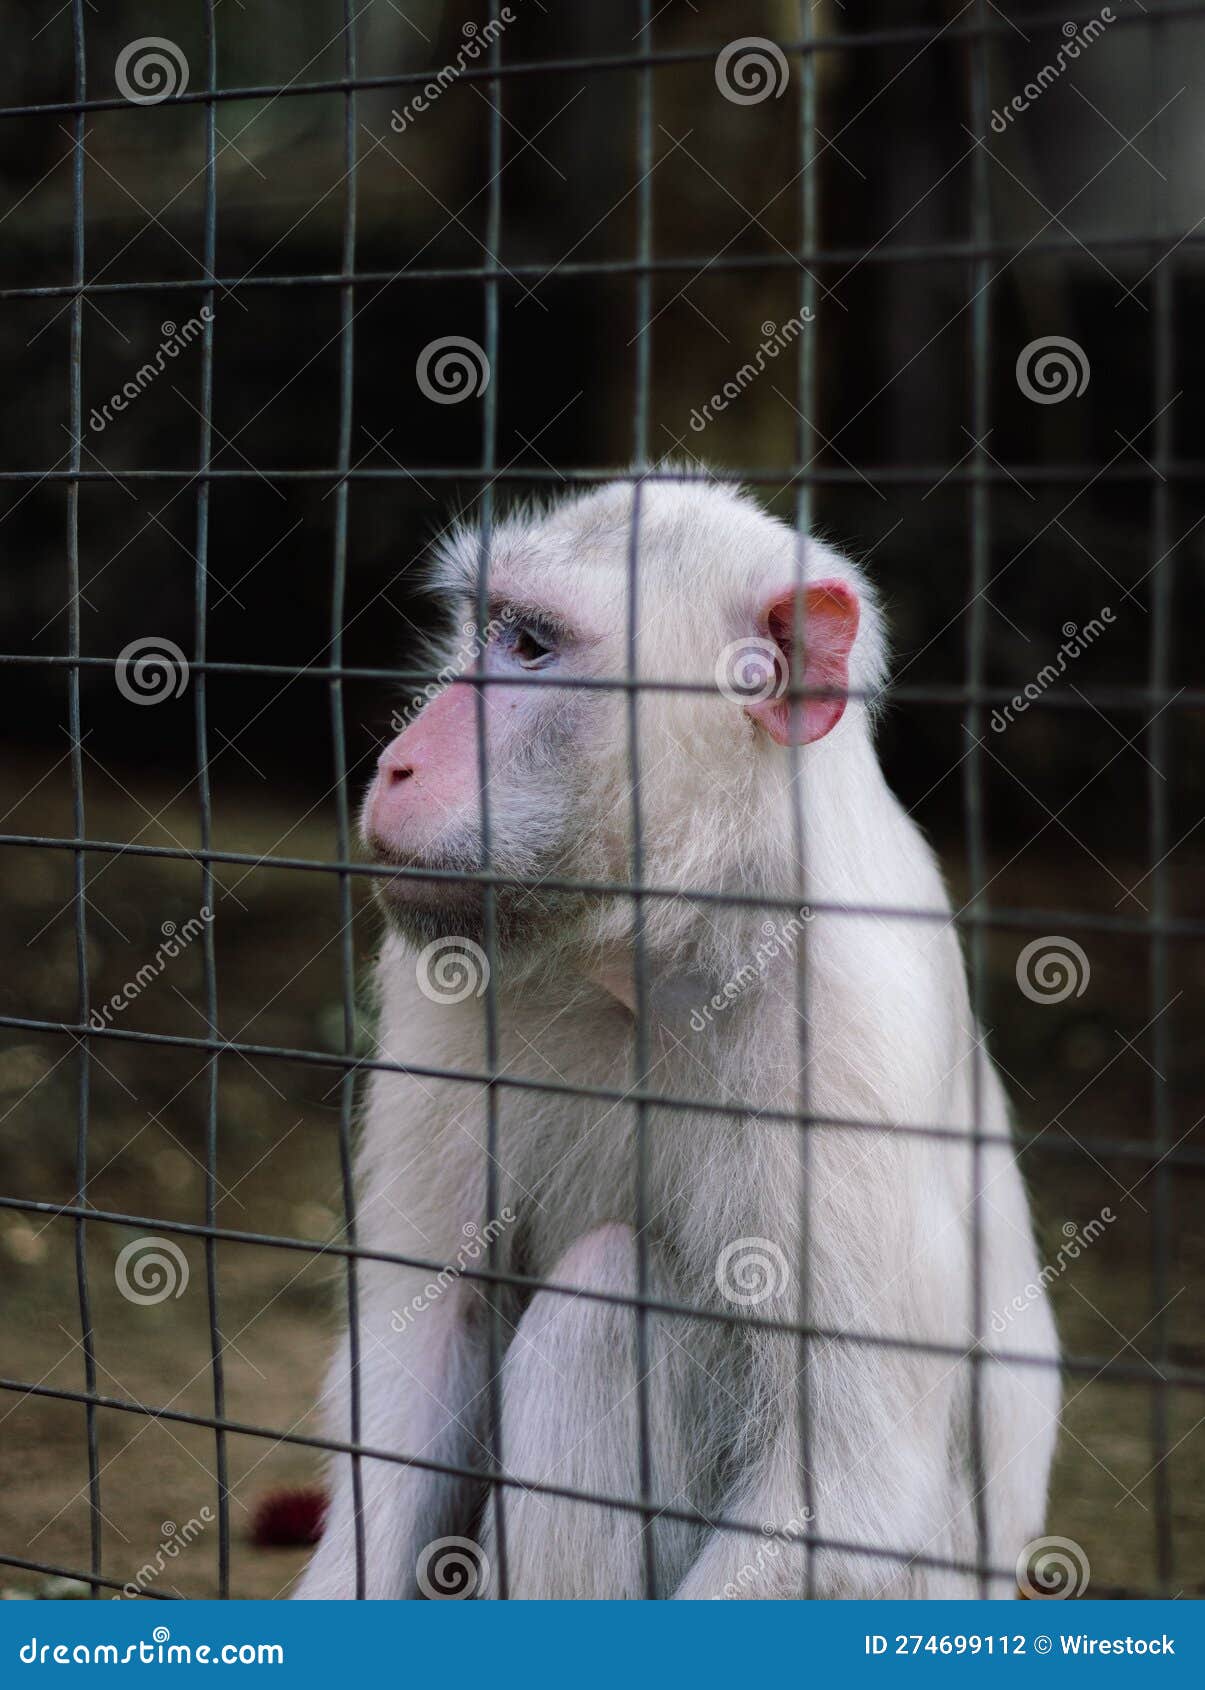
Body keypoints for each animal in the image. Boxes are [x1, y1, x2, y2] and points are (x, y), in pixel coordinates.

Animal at [295, 473, 1054, 1595]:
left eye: (530, 645)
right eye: (480, 627)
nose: (397, 762)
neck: (662, 956)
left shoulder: (844, 1042)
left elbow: (845, 1498)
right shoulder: (445, 971)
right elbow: (419, 1353)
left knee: (606, 1301)